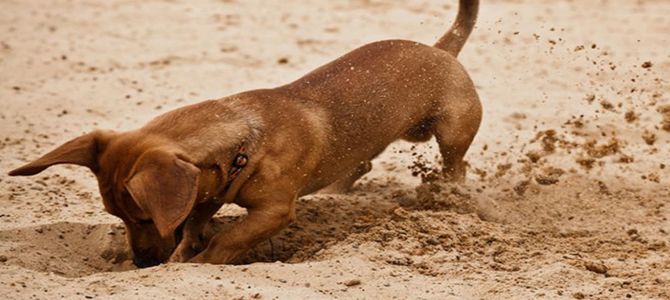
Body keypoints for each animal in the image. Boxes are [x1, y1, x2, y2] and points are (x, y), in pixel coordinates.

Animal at [7, 0, 480, 268]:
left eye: (143, 217)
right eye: (117, 217)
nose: (141, 263)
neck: (246, 138)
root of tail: (439, 49)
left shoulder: (273, 211)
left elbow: (227, 239)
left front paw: (197, 265)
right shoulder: (204, 192)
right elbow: (194, 224)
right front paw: (184, 252)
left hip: (454, 131)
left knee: (455, 166)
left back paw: (451, 195)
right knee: (358, 164)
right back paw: (337, 193)